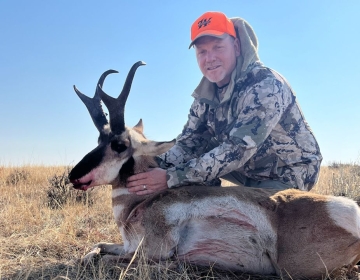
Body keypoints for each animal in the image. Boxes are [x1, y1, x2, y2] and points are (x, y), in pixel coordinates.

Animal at [69, 62, 360, 278]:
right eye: (99, 139)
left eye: (119, 145)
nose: (73, 176)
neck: (140, 204)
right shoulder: (126, 245)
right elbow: (93, 249)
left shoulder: (147, 251)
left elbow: (101, 260)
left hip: (291, 268)